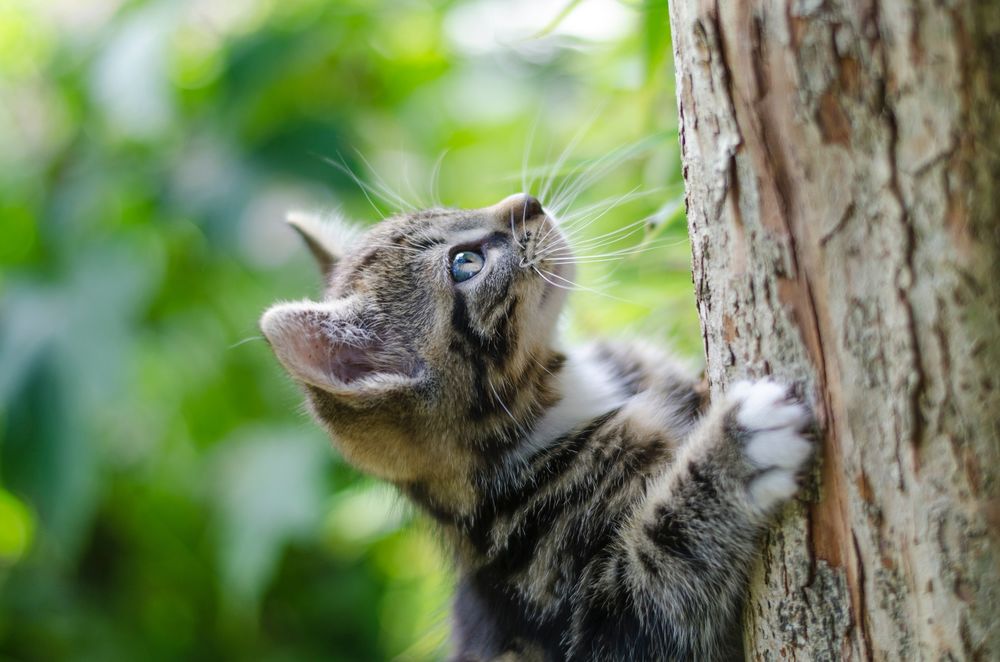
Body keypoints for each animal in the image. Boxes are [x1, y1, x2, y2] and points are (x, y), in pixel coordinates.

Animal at [262, 193, 816, 662]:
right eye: (465, 263)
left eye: (452, 208)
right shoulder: (594, 623)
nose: (527, 202)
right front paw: (738, 448)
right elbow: (662, 566)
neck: (566, 394)